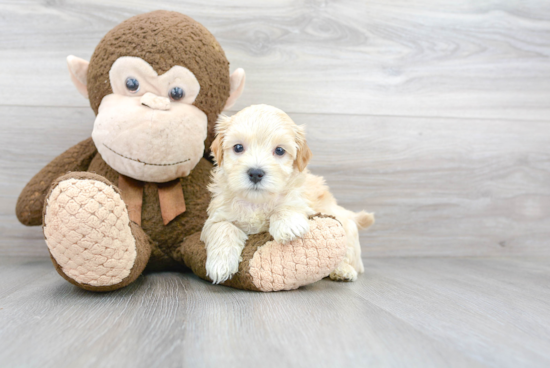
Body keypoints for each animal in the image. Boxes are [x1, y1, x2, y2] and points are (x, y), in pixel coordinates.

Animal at [203, 105, 376, 284]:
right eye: (238, 147)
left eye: (279, 150)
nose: (256, 173)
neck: (257, 202)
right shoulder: (216, 216)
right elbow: (223, 228)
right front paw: (220, 264)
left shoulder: (300, 198)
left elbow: (288, 205)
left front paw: (288, 226)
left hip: (345, 227)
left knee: (351, 259)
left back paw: (343, 270)